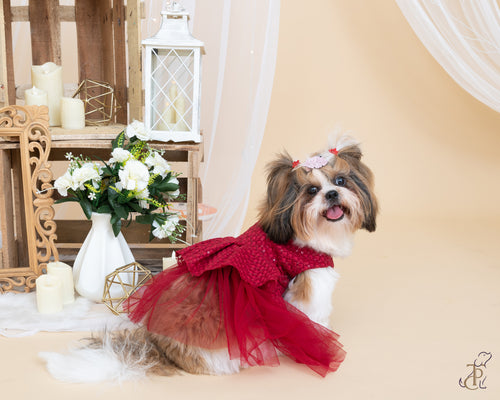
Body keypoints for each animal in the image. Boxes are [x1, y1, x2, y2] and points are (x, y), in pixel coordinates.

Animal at [41, 136, 376, 382]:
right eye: (311, 190)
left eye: (341, 181)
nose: (331, 195)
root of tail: (162, 347)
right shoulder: (310, 285)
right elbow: (310, 322)